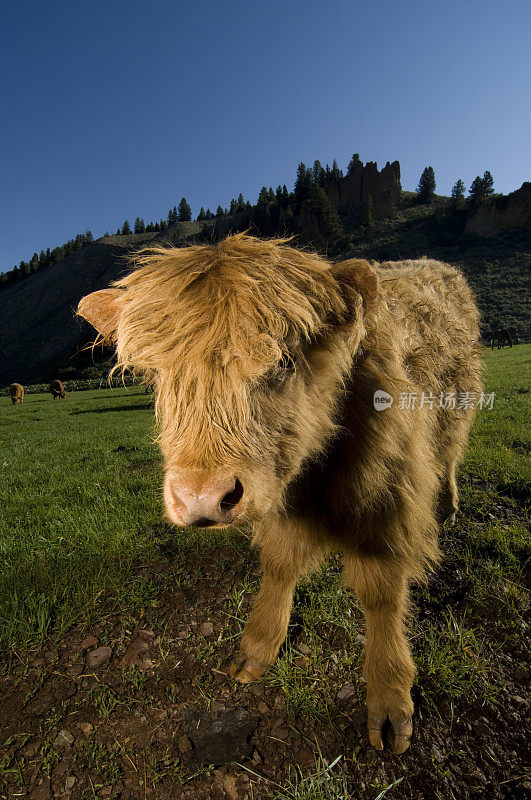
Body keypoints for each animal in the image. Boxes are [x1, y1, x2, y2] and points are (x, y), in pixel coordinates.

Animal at [78, 234, 482, 752]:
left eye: (285, 362)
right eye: (154, 375)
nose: (202, 498)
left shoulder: (386, 497)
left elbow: (381, 594)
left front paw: (391, 698)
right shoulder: (282, 501)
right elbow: (279, 565)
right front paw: (257, 648)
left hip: (458, 406)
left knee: (450, 453)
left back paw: (447, 504)